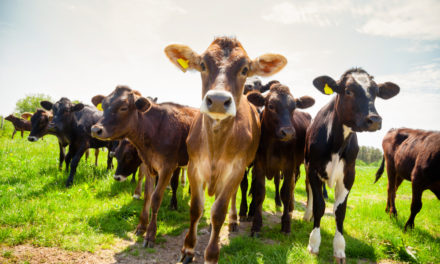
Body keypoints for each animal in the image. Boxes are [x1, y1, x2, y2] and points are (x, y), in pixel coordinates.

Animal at [90, 86, 197, 248]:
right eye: (104, 105)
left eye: (123, 107)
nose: (96, 129)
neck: (154, 130)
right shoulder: (148, 165)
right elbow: (148, 195)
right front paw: (141, 226)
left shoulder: (167, 167)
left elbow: (156, 198)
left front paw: (151, 234)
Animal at [163, 37, 288, 264]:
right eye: (203, 65)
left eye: (245, 69)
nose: (219, 101)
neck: (216, 142)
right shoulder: (194, 167)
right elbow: (196, 209)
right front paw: (188, 249)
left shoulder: (236, 169)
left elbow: (218, 212)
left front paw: (212, 254)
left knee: (231, 196)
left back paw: (234, 220)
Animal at [246, 81, 314, 234]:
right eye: (271, 106)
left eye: (294, 107)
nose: (288, 133)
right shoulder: (259, 165)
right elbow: (260, 192)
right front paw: (256, 224)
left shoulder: (289, 166)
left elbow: (286, 193)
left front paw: (286, 224)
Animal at [304, 67, 400, 262]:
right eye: (348, 91)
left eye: (376, 92)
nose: (374, 120)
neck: (337, 143)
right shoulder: (313, 169)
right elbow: (319, 205)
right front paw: (314, 243)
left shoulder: (349, 174)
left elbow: (340, 211)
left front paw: (339, 249)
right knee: (309, 191)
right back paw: (307, 215)